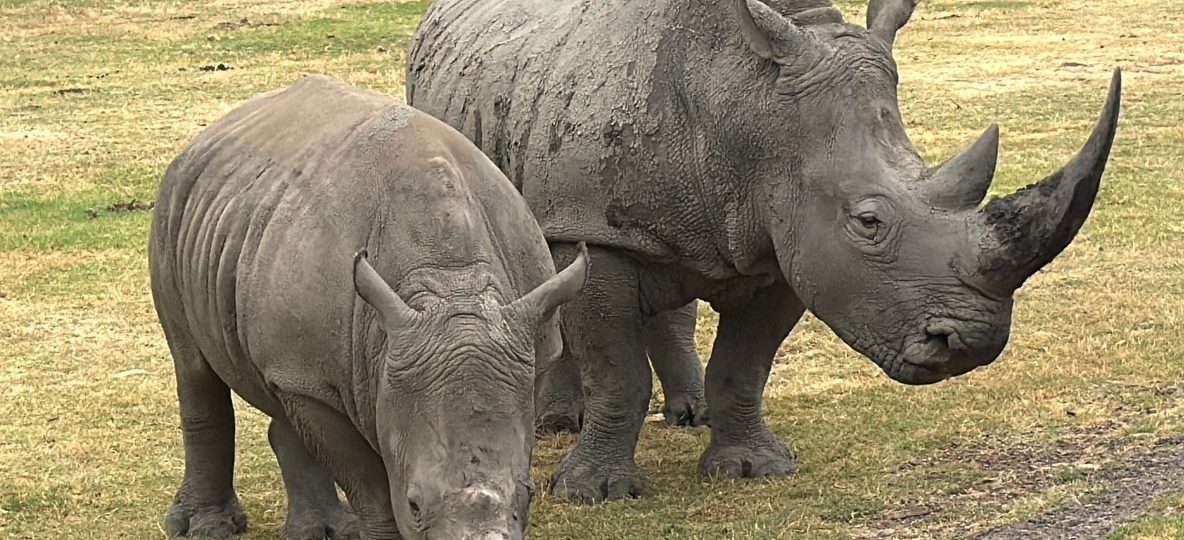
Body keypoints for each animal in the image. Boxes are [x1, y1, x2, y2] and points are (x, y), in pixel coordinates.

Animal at [149, 75, 588, 539]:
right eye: (414, 505)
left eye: (530, 496)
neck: (451, 288)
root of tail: (212, 131)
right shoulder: (317, 375)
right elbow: (372, 488)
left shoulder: (531, 347)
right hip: (175, 207)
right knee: (193, 368)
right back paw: (205, 527)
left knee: (279, 389)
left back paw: (322, 531)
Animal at [406, 0, 1122, 503]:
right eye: (868, 222)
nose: (970, 346)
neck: (750, 105)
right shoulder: (594, 227)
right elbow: (616, 367)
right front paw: (595, 493)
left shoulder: (785, 241)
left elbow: (745, 366)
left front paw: (754, 469)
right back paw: (558, 423)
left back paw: (689, 412)